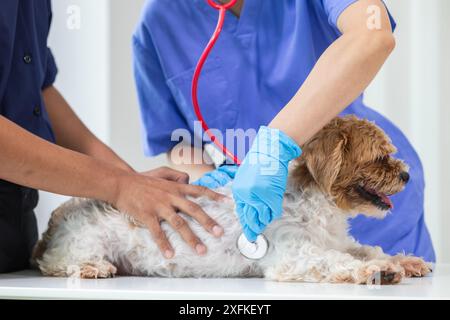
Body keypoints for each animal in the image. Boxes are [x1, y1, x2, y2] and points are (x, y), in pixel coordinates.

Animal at [32, 116, 432, 284]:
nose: (407, 175)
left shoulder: (337, 240)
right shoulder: (296, 254)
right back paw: (90, 268)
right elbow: (337, 261)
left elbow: (364, 248)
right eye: (379, 157)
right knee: (55, 263)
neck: (320, 206)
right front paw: (374, 270)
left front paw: (402, 260)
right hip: (82, 244)